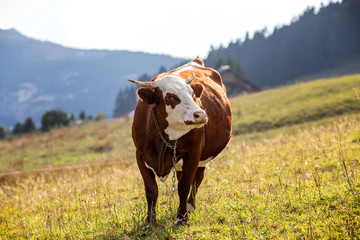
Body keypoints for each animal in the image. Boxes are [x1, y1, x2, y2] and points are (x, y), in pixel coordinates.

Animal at [128, 57, 232, 226]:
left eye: (192, 94)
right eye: (170, 96)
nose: (201, 115)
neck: (162, 141)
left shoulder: (193, 154)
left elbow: (184, 187)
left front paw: (181, 217)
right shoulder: (140, 155)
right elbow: (151, 190)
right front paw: (150, 221)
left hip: (202, 159)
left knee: (197, 180)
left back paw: (190, 206)